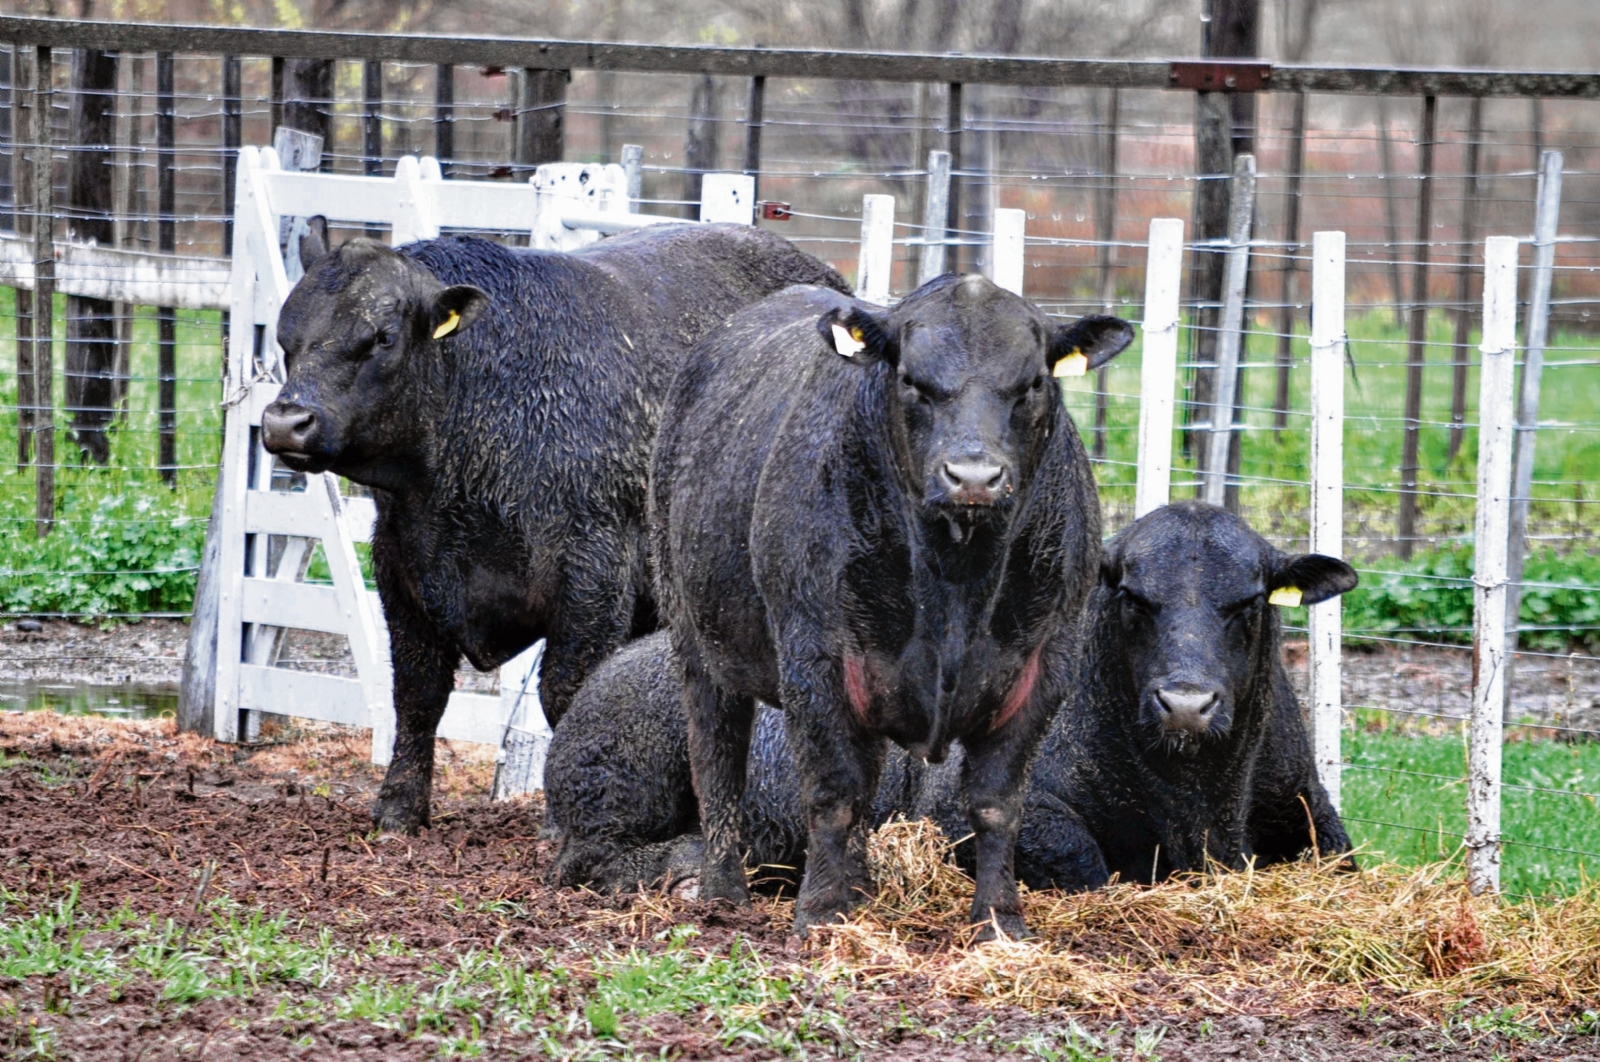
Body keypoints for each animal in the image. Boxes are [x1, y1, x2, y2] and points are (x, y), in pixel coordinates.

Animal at [260, 222, 848, 834]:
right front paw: (399, 806)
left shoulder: (592, 570)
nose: (285, 422)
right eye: (287, 335)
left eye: (382, 337)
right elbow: (418, 693)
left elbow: (566, 691)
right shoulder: (402, 569)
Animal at [650, 274, 1133, 938]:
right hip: (695, 635)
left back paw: (860, 888)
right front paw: (821, 914)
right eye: (911, 380)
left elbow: (997, 802)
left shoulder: (1043, 664)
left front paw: (1000, 920)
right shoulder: (816, 658)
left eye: (1033, 381)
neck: (956, 579)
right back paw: (725, 893)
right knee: (717, 758)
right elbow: (834, 792)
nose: (973, 477)